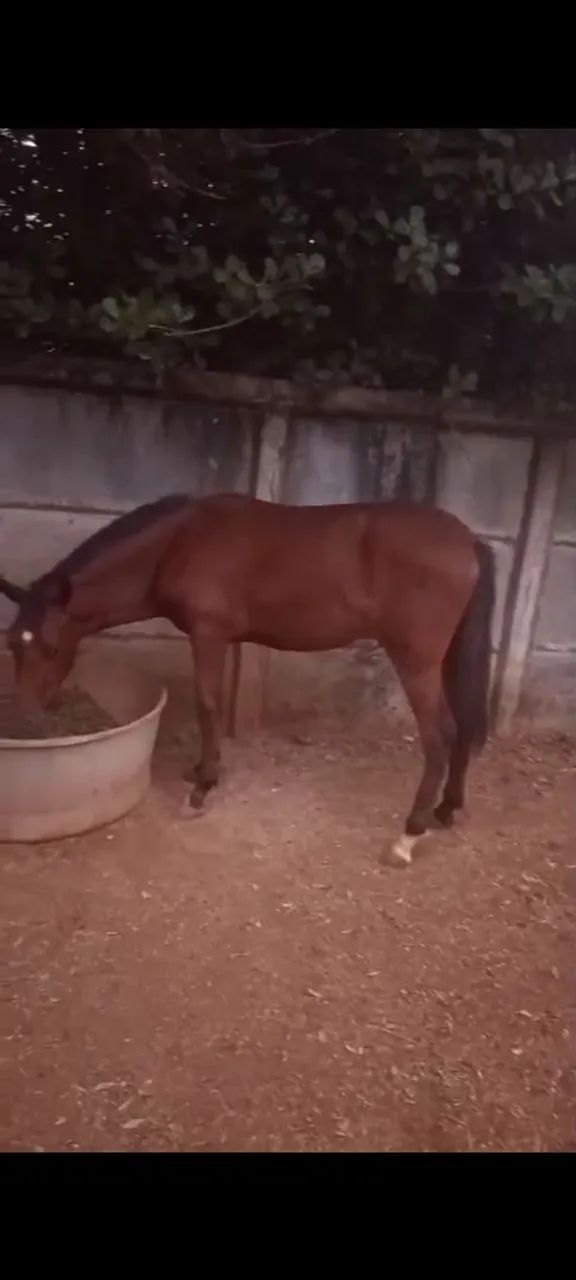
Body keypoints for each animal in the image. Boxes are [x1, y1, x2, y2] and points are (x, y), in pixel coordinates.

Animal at [0, 492, 495, 865]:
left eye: (49, 647)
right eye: (13, 643)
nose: (26, 717)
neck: (179, 542)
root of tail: (469, 540)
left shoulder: (209, 634)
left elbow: (208, 703)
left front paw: (201, 789)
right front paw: (200, 772)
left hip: (416, 661)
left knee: (439, 735)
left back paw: (408, 835)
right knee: (461, 727)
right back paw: (446, 809)